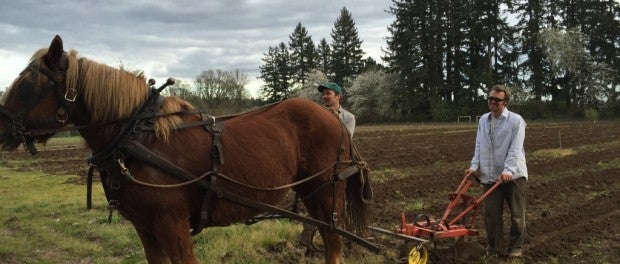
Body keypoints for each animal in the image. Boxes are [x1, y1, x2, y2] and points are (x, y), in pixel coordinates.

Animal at [0, 35, 372, 264]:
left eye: (28, 82)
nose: (1, 126)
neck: (139, 137)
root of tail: (332, 116)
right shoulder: (145, 227)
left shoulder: (171, 224)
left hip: (326, 194)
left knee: (334, 244)